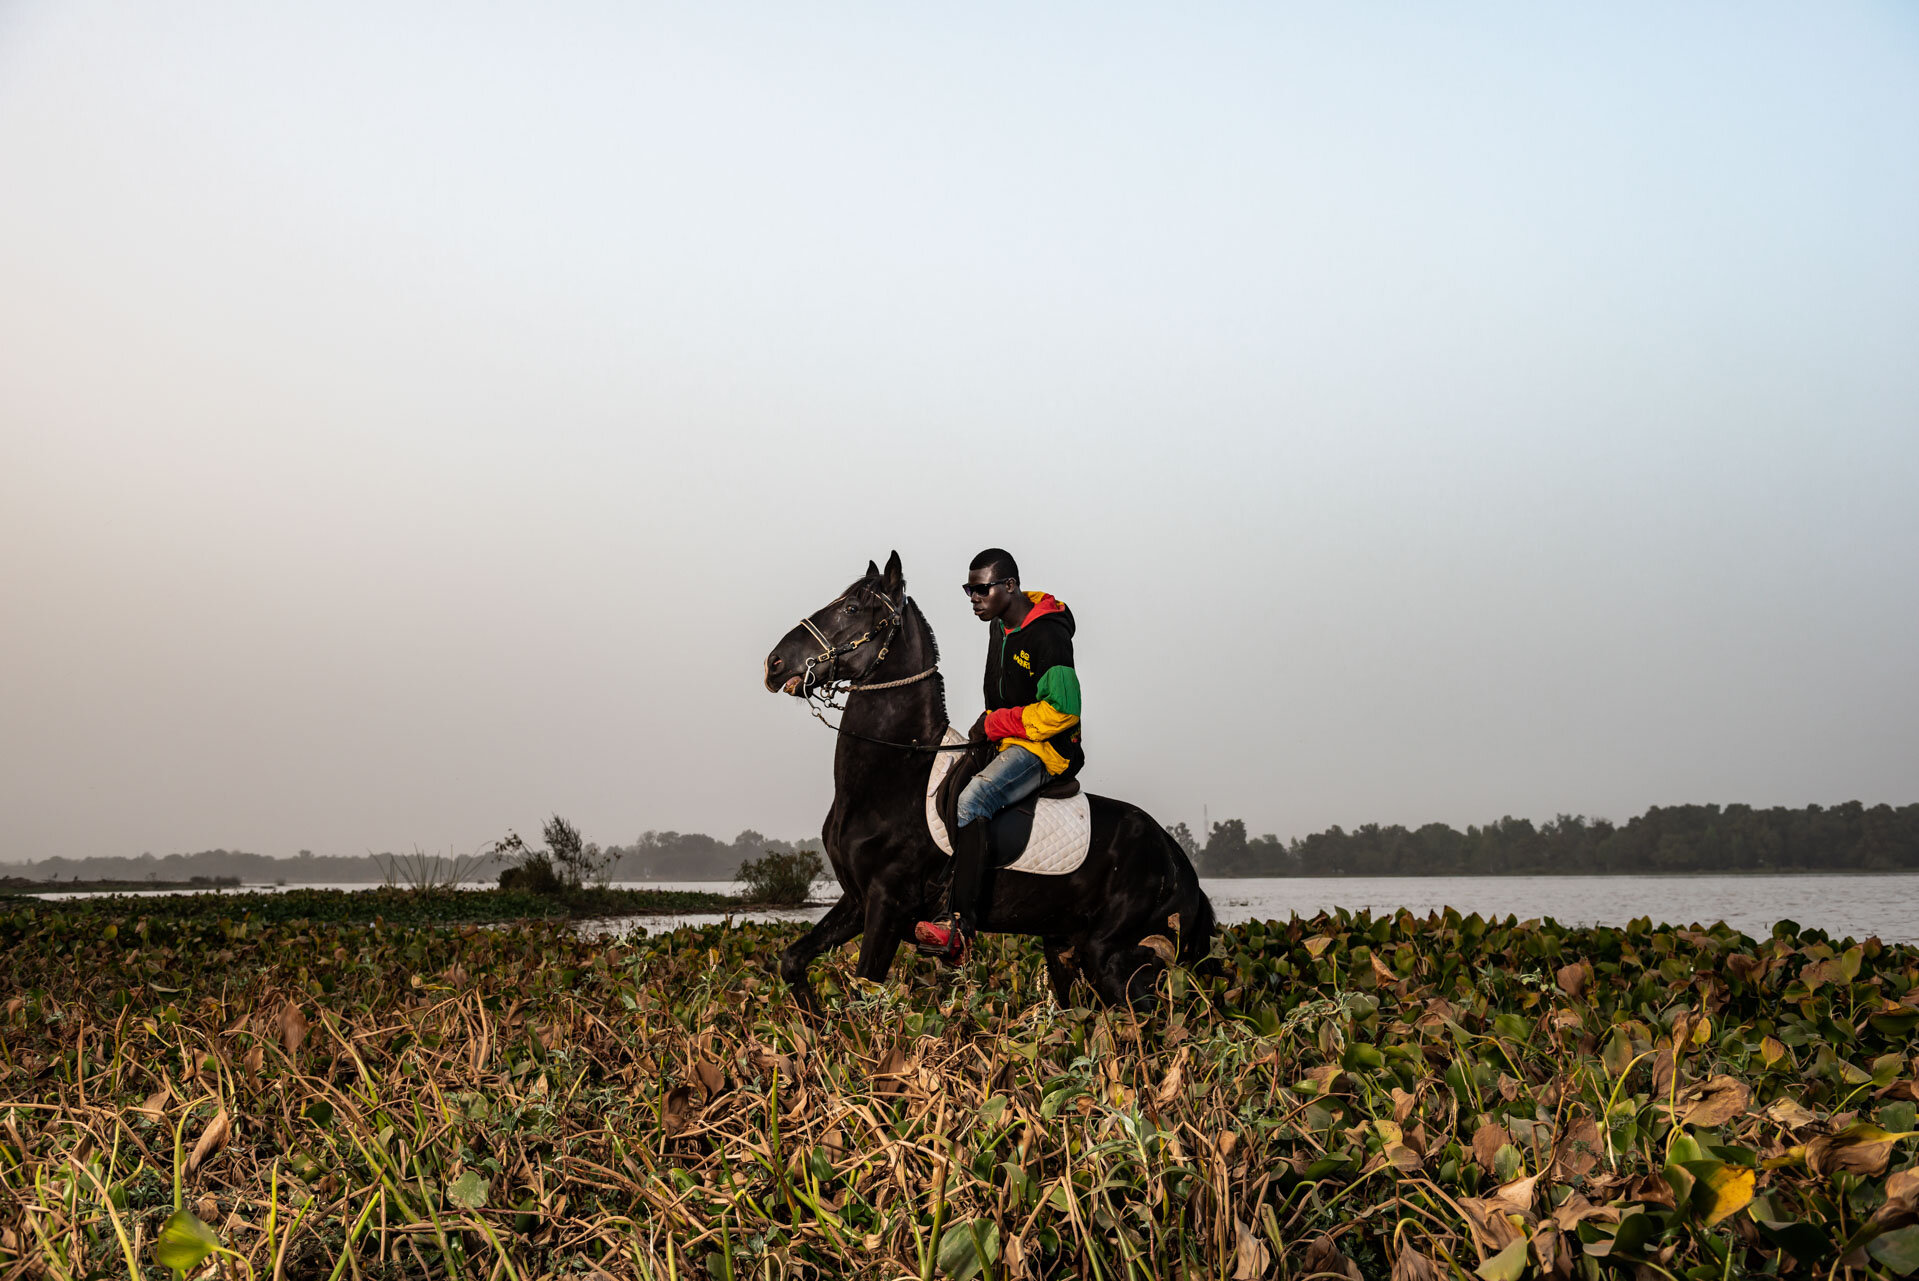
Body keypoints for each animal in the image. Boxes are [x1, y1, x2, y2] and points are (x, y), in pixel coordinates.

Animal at [756, 552, 1205, 1012]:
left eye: (850, 608)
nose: (775, 664)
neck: (893, 774)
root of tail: (1175, 858)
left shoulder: (887, 904)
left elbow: (866, 991)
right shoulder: (857, 901)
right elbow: (792, 961)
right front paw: (811, 1020)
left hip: (1112, 956)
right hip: (1064, 946)